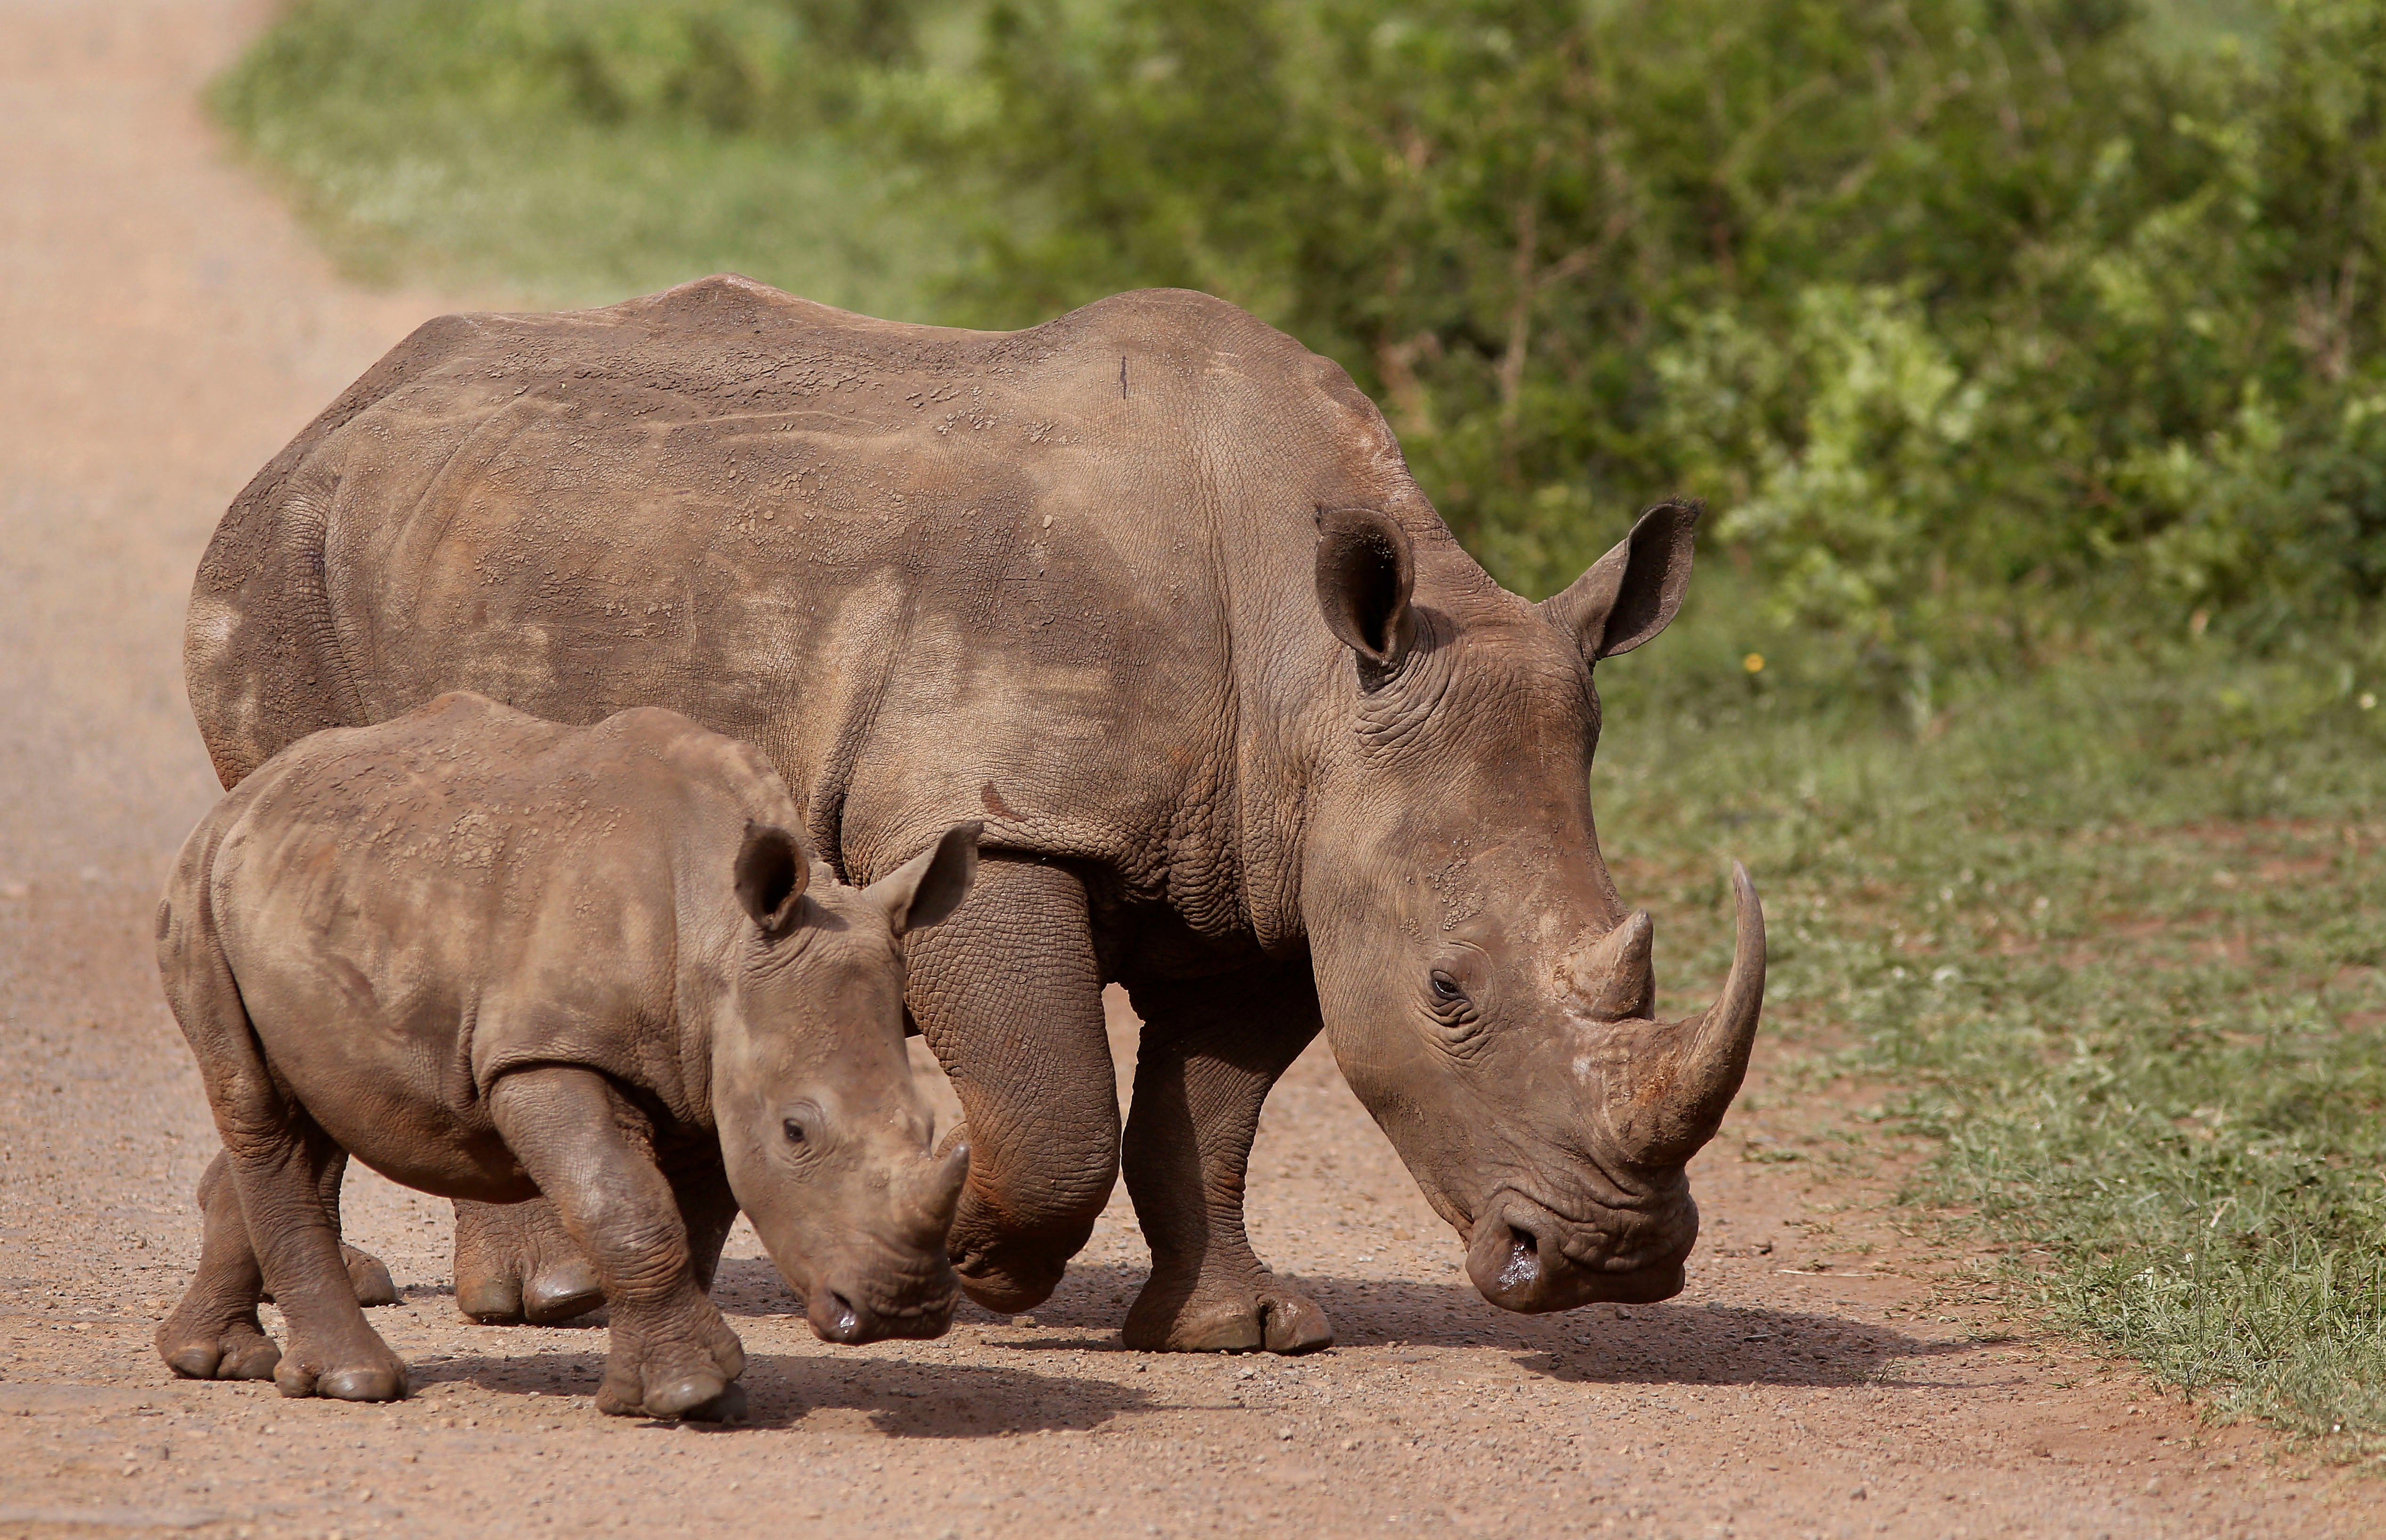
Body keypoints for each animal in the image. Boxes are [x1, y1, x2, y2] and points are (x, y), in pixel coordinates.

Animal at [154, 691, 979, 1415]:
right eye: (797, 1131)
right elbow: (625, 1204)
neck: (720, 934)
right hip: (200, 893)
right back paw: (354, 1383)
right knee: (261, 1108)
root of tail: (248, 795)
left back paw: (211, 1359)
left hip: (315, 892)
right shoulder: (546, 1053)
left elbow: (682, 1225)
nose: (905, 1311)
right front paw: (687, 1392)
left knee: (318, 1104)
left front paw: (681, 1390)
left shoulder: (705, 1070)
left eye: (926, 1126)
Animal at [186, 277, 1765, 1353]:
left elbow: (1209, 1114)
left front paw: (1237, 1329)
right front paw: (980, 1271)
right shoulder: (990, 819)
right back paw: (549, 1295)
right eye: (1449, 991)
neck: (1313, 677)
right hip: (285, 564)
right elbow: (1058, 1102)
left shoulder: (1276, 873)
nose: (1614, 1262)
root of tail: (333, 416)